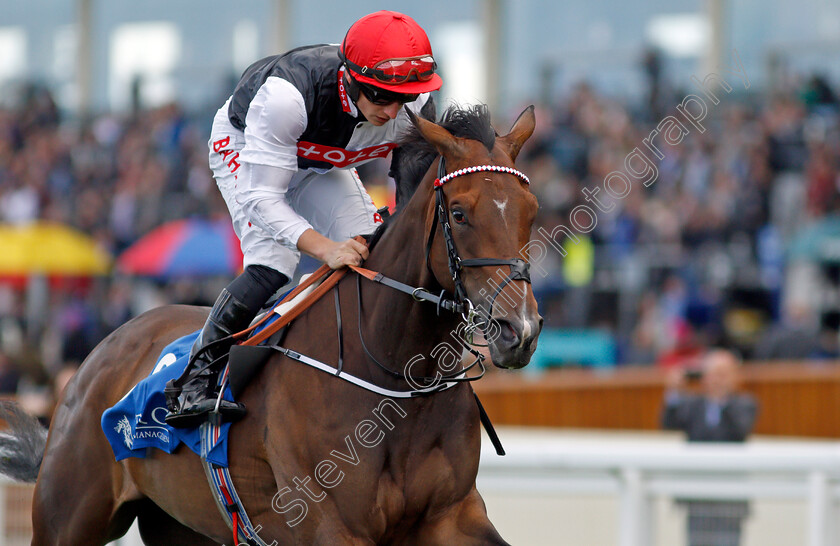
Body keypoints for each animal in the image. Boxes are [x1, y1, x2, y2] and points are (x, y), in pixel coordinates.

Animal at [0, 104, 540, 540]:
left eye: (531, 212)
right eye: (460, 213)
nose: (520, 330)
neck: (395, 375)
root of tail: (93, 360)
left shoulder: (453, 514)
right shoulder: (332, 524)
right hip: (68, 515)